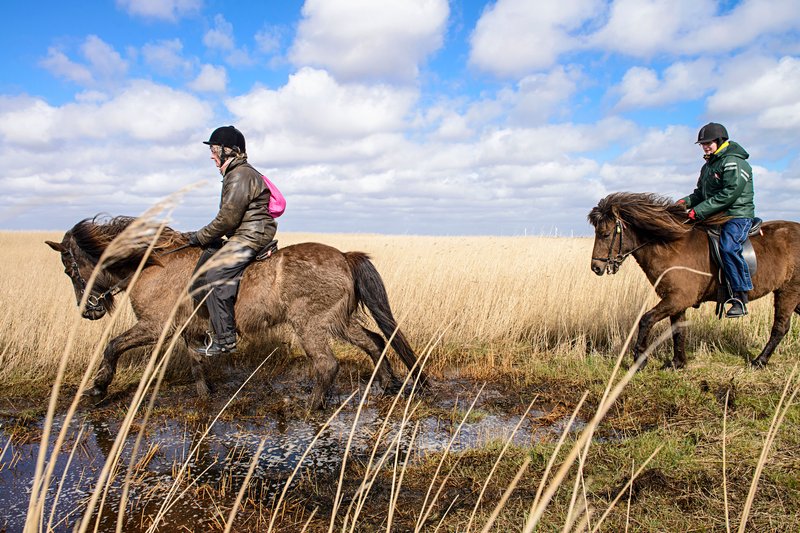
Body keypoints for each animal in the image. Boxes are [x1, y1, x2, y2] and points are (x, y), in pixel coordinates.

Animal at [45, 215, 424, 408]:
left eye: (69, 268)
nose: (88, 312)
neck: (151, 263)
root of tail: (345, 257)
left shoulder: (154, 327)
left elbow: (112, 347)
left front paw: (98, 387)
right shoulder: (187, 329)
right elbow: (196, 361)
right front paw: (203, 394)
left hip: (311, 325)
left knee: (327, 364)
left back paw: (312, 406)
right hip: (338, 322)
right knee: (374, 341)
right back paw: (387, 385)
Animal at [588, 192, 800, 370]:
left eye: (605, 234)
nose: (596, 267)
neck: (670, 246)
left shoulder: (679, 298)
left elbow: (646, 320)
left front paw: (639, 360)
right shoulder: (675, 300)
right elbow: (678, 330)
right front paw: (677, 363)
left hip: (789, 291)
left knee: (780, 327)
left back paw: (759, 361)